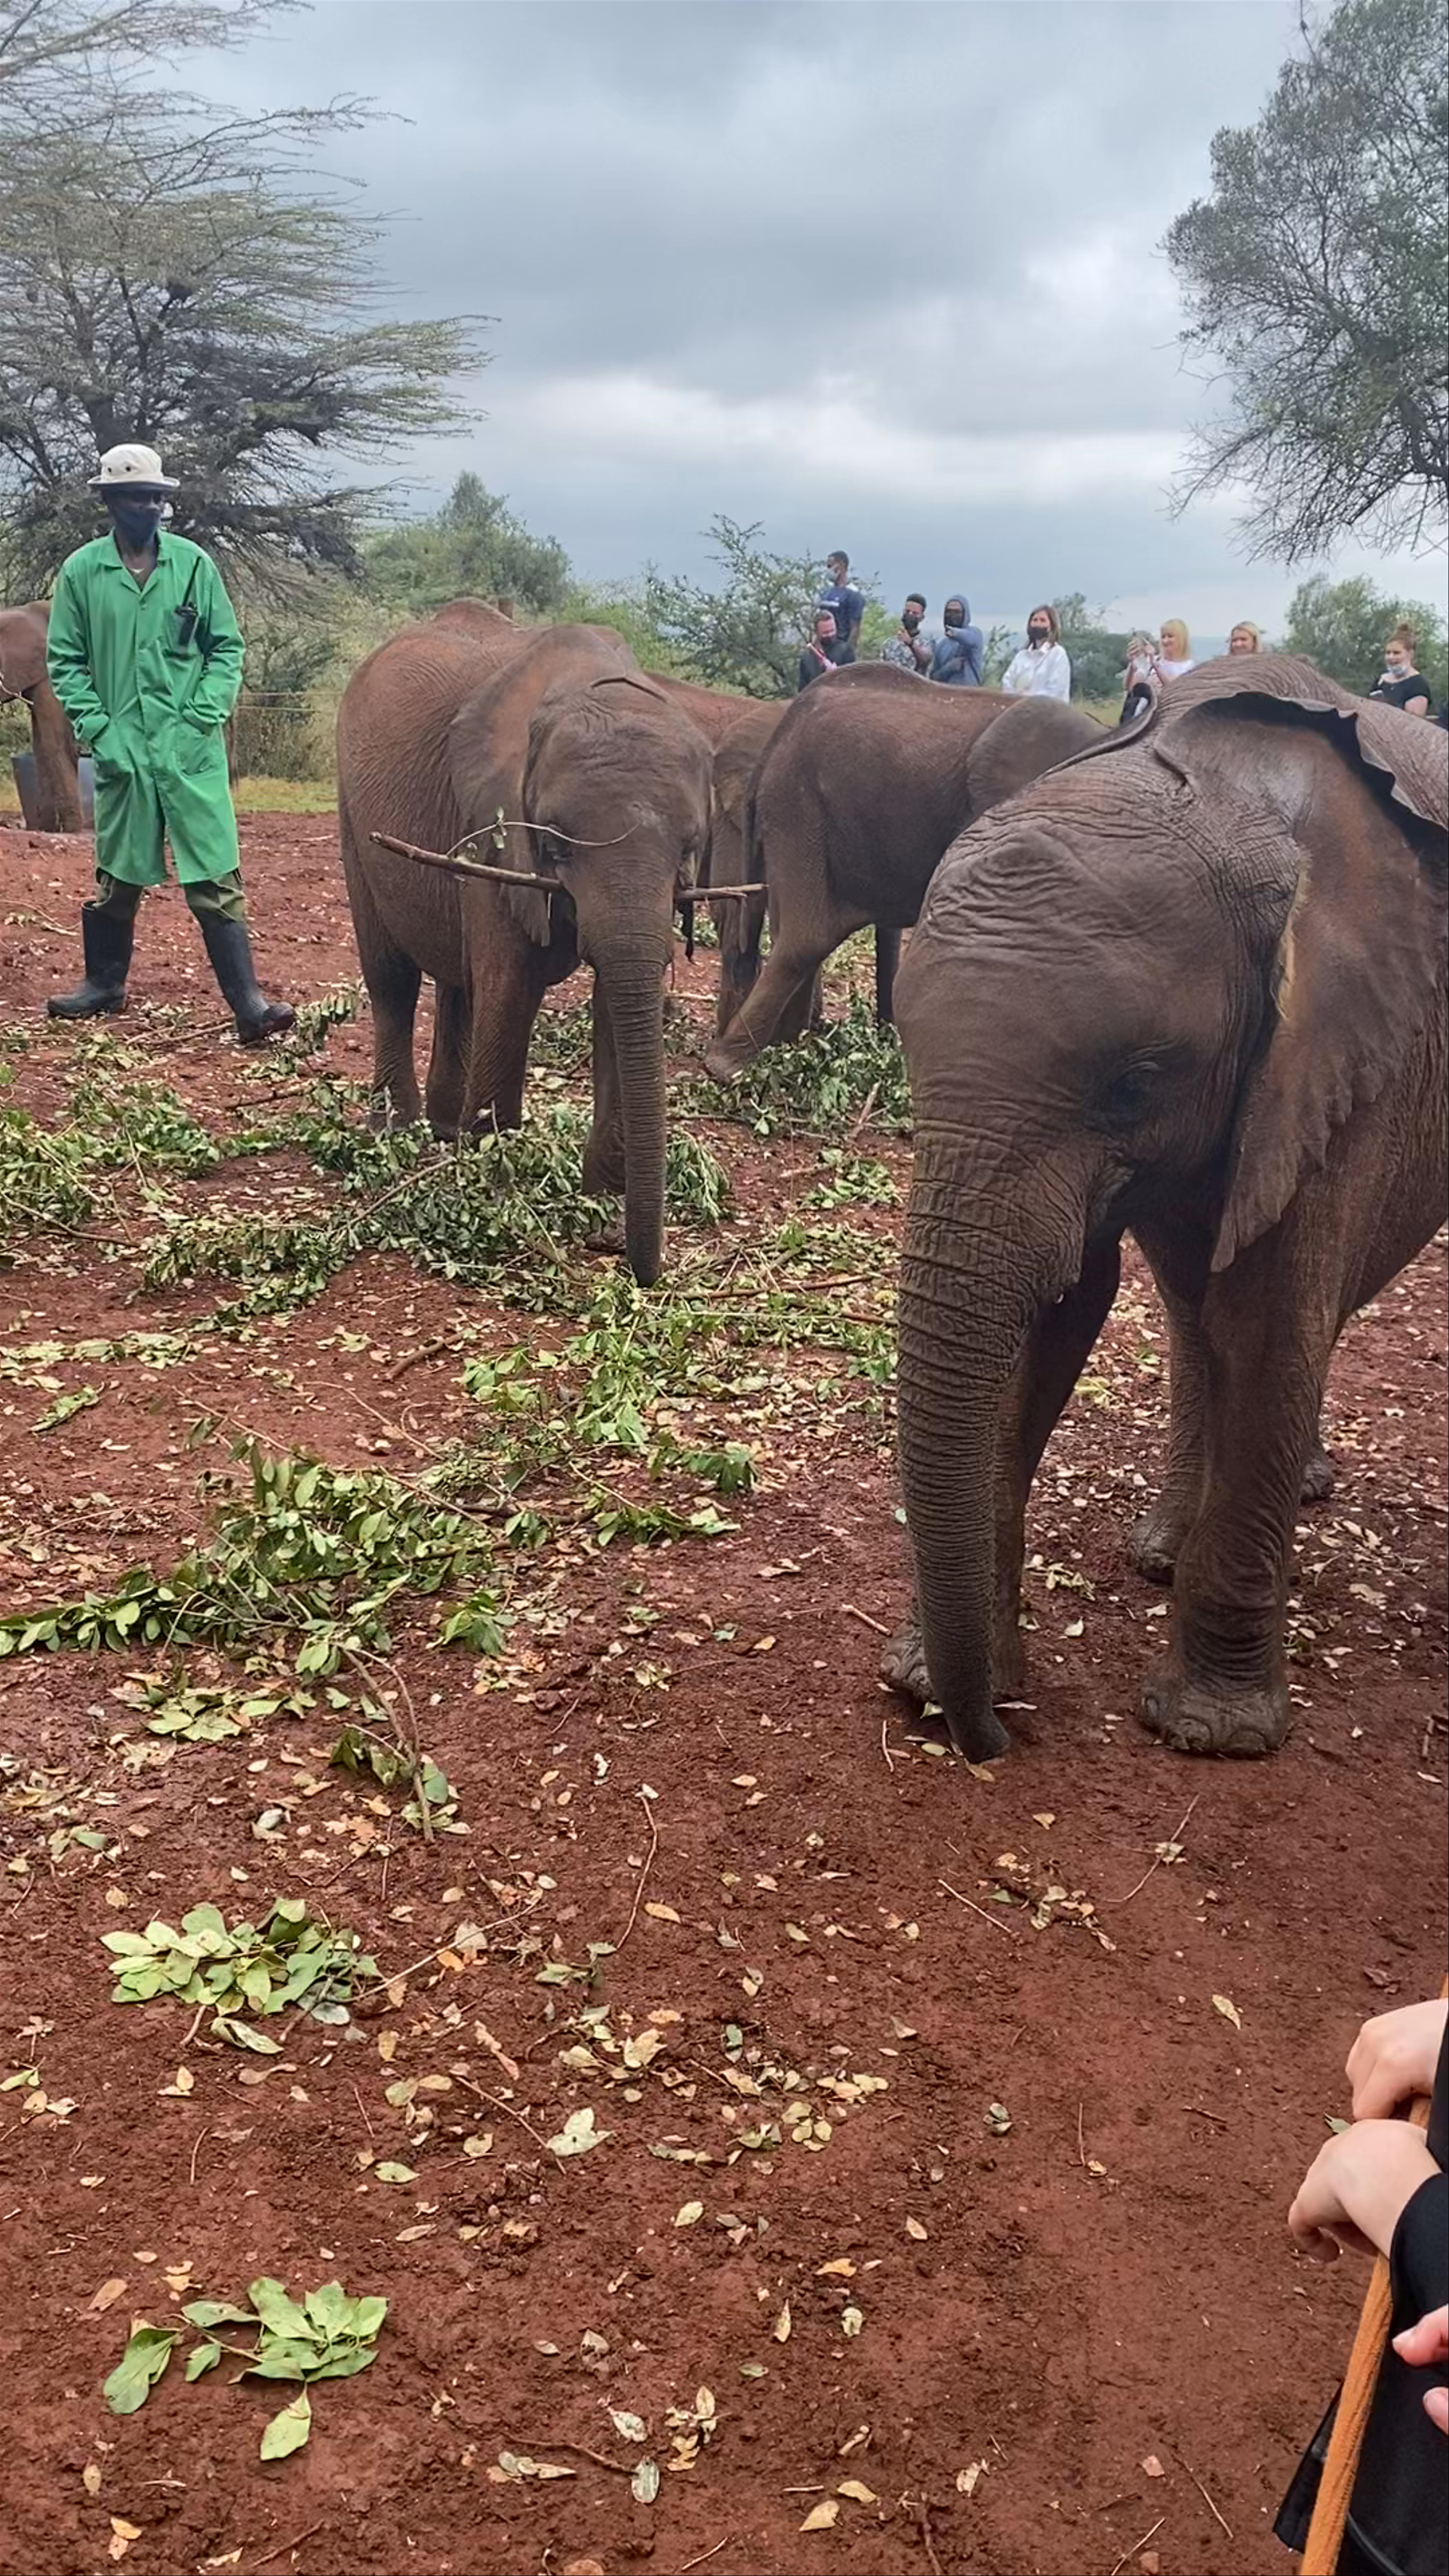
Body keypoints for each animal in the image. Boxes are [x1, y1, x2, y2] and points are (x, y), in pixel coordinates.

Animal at [336, 607, 714, 1287]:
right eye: (556, 844)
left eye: (690, 848)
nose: (642, 1272)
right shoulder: (493, 823)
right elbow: (511, 987)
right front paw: (499, 1196)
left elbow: (614, 1001)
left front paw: (601, 1206)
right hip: (353, 811)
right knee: (393, 978)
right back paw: (396, 1134)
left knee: (458, 981)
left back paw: (444, 1131)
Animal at [882, 656, 1447, 1764]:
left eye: (1137, 1083)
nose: (991, 1743)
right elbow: (1056, 1311)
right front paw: (939, 1681)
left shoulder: (1341, 1047)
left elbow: (1269, 1325)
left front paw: (1212, 1735)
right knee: (1196, 1311)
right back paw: (1166, 1548)